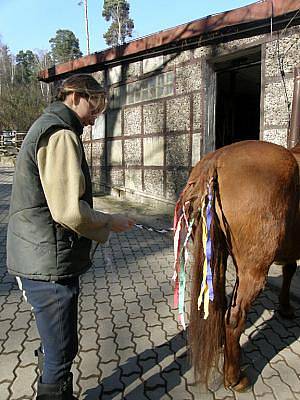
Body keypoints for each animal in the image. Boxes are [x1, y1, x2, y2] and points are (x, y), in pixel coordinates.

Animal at [176, 140, 300, 390]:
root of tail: (216, 159)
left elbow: (289, 270)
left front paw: (284, 307)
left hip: (216, 257)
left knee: (220, 305)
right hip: (253, 272)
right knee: (234, 318)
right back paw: (234, 377)